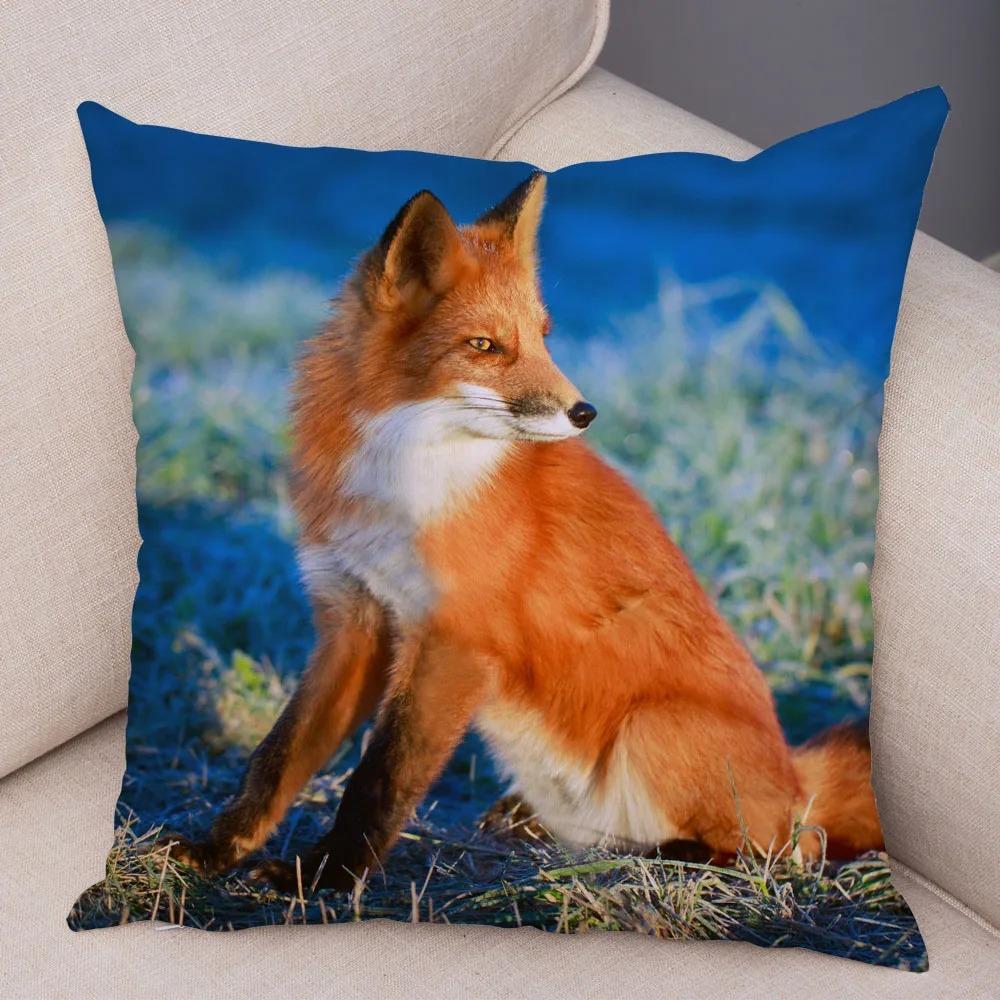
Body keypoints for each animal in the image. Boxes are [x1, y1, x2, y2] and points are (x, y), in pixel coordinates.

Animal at [171, 173, 883, 891]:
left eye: (544, 335)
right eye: (484, 345)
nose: (584, 412)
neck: (403, 479)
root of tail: (797, 780)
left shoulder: (455, 643)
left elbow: (381, 780)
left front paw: (324, 879)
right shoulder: (354, 622)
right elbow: (276, 758)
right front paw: (217, 851)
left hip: (650, 728)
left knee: (780, 852)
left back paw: (666, 857)